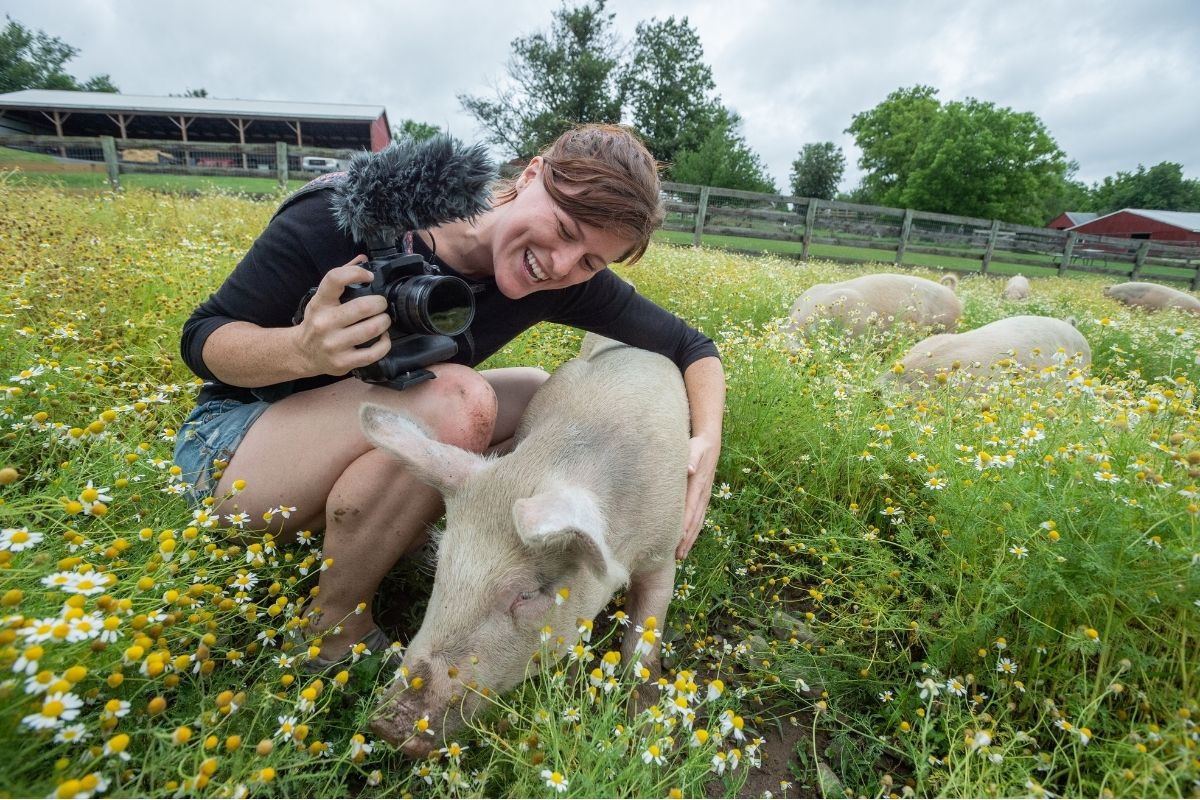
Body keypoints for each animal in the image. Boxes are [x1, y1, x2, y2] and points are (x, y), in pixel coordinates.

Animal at [357, 333, 686, 758]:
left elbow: (643, 647)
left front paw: (647, 737)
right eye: (441, 568)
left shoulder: (664, 551)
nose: (385, 724)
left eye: (526, 594)